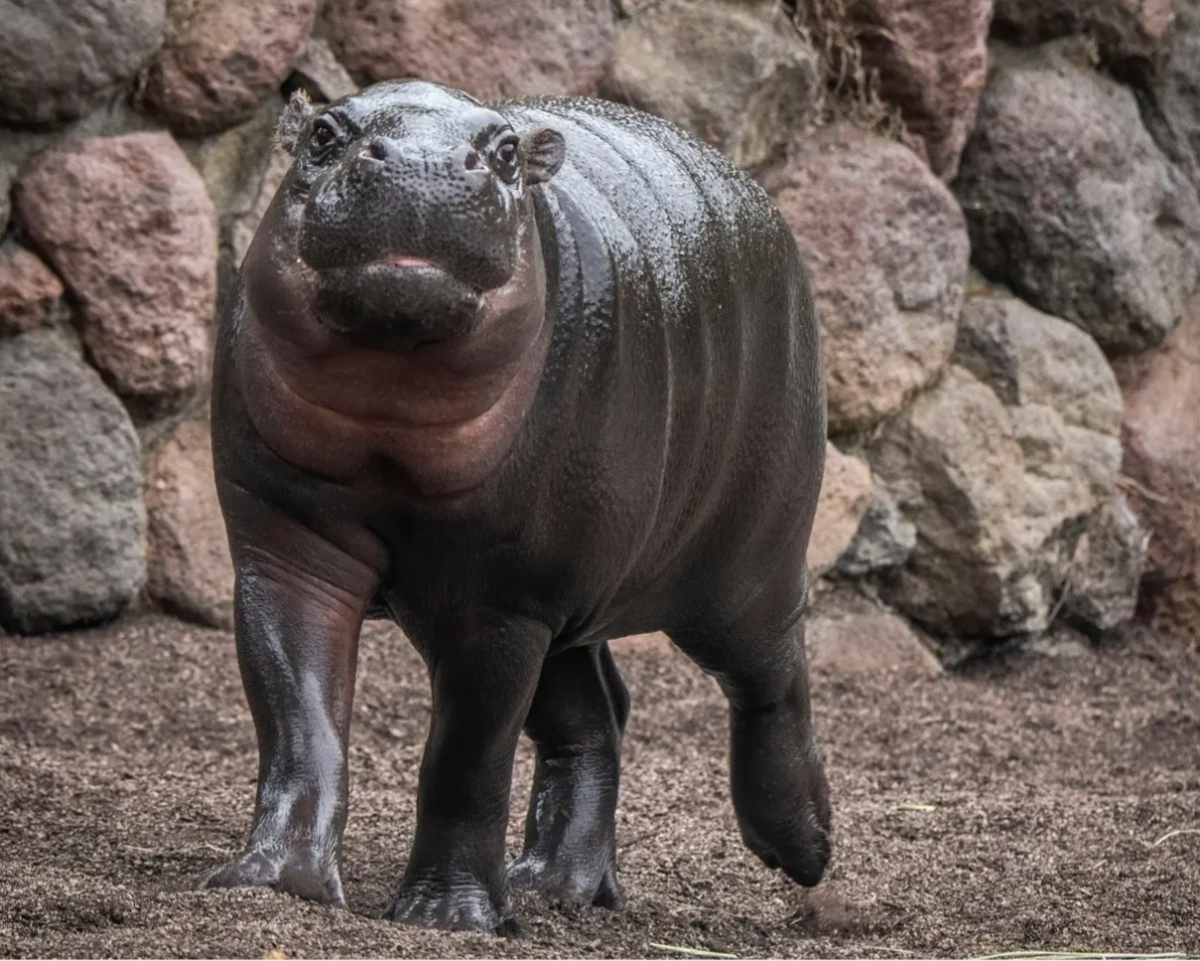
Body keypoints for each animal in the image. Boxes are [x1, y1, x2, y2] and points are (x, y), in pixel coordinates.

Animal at [206, 80, 829, 931]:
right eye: (325, 133)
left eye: (506, 152)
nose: (424, 165)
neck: (389, 411)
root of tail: (756, 197)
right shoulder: (288, 547)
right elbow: (297, 715)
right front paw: (272, 883)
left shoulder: (498, 604)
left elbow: (467, 758)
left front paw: (444, 918)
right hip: (568, 588)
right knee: (596, 716)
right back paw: (555, 885)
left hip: (741, 566)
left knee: (772, 676)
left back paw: (804, 851)